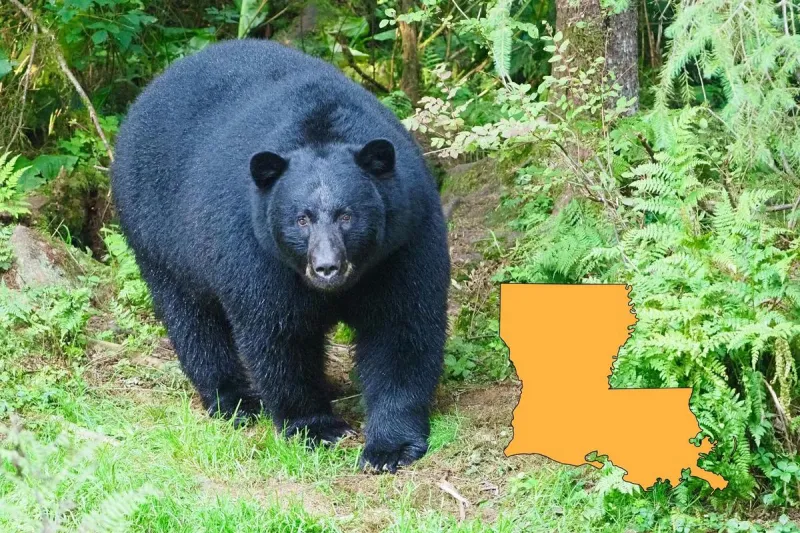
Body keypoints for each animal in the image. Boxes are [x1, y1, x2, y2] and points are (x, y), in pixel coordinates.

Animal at [110, 39, 450, 472]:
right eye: (301, 219)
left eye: (347, 215)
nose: (326, 268)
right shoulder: (255, 252)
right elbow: (279, 335)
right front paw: (316, 428)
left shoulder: (404, 242)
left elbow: (401, 327)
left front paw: (390, 446)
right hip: (158, 236)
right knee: (192, 320)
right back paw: (234, 401)